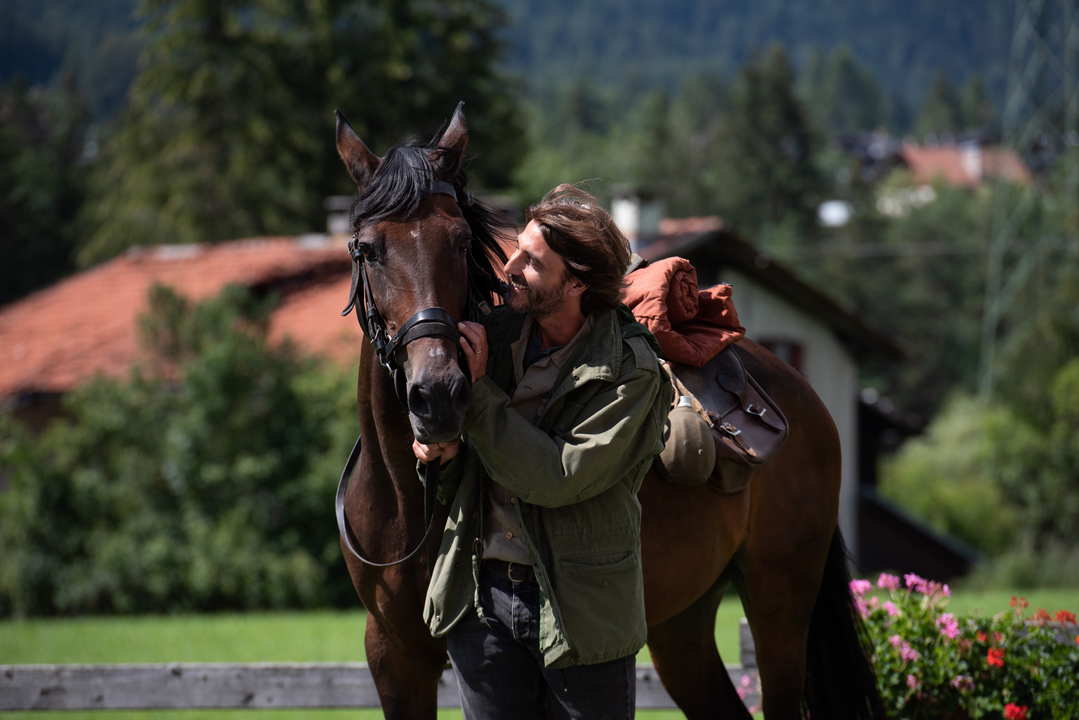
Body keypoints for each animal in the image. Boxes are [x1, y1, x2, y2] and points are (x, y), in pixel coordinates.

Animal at [334, 102, 884, 720]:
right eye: (369, 248)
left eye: (459, 241)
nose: (438, 392)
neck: (411, 503)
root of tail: (800, 394)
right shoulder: (395, 655)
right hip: (681, 626)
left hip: (779, 606)